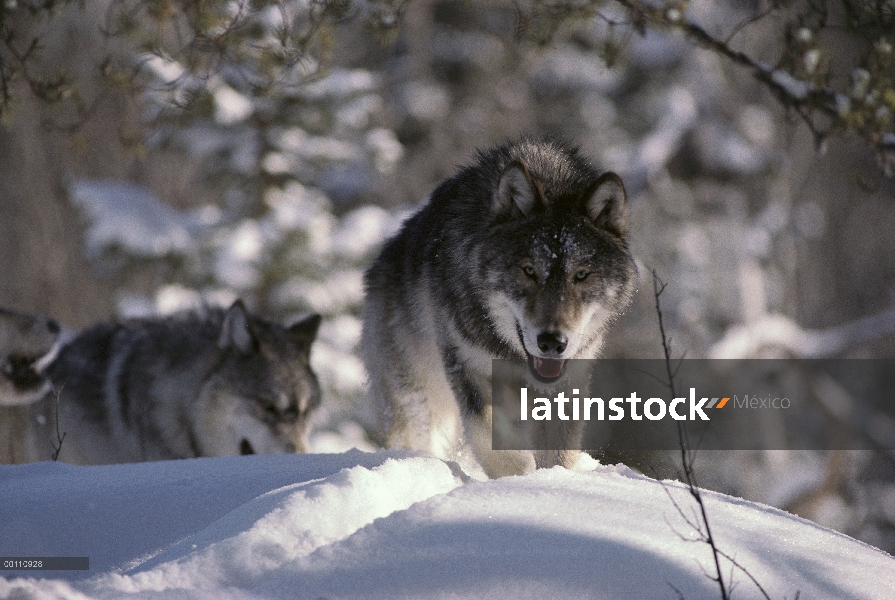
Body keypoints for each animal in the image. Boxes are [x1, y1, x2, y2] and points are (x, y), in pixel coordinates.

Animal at [362, 137, 636, 478]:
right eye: (529, 271)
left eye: (581, 275)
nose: (552, 342)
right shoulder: (464, 364)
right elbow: (490, 437)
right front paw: (517, 478)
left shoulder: (567, 381)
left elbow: (557, 454)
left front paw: (552, 482)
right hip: (418, 396)